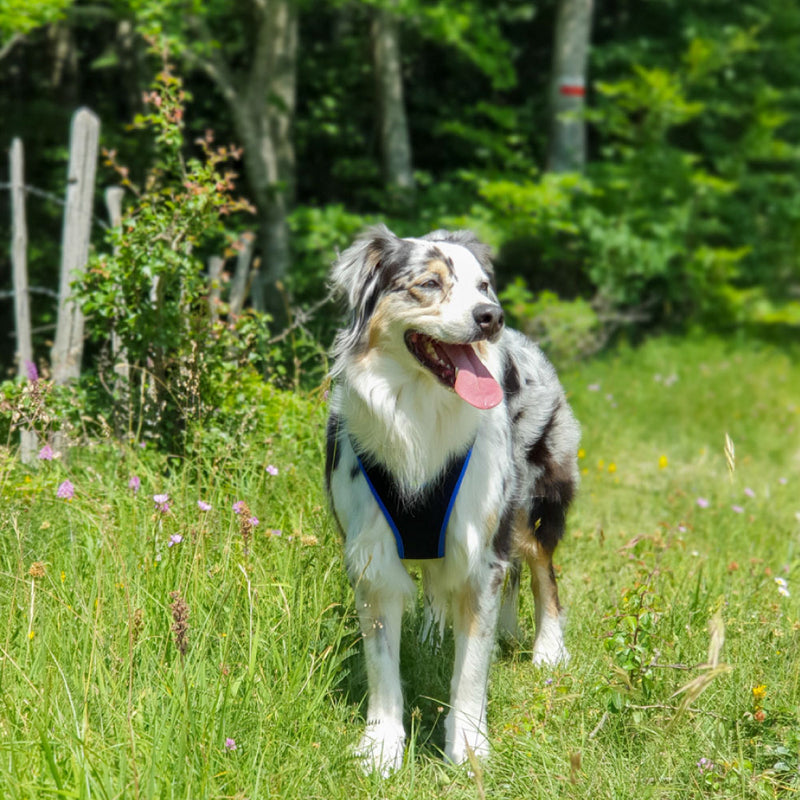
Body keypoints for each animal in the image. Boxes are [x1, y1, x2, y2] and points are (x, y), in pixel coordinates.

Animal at [324, 225, 580, 776]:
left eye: (484, 285)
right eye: (429, 283)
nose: (491, 317)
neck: (421, 413)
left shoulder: (481, 549)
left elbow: (472, 669)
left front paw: (468, 747)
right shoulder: (372, 554)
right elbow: (382, 663)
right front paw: (382, 746)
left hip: (532, 501)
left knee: (543, 572)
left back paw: (548, 650)